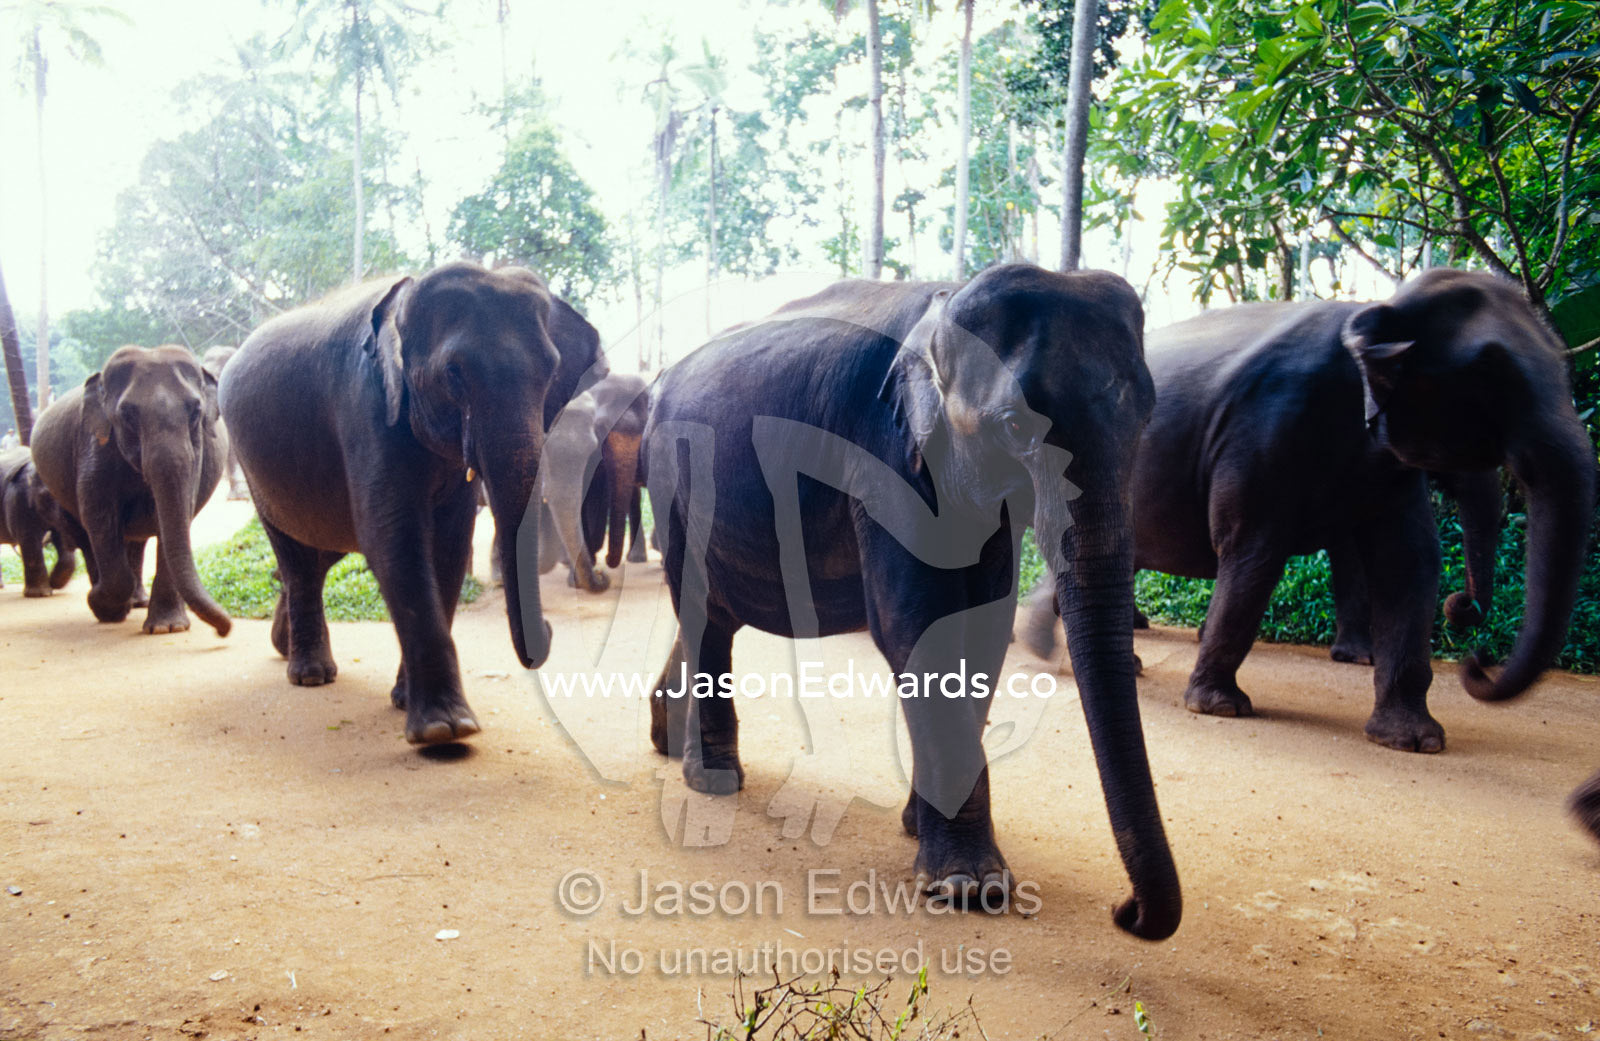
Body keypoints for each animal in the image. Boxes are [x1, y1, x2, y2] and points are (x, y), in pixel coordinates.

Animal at [0, 448, 77, 596]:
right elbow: (29, 538)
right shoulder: (19, 499)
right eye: (48, 496)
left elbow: (61, 539)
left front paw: (54, 584)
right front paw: (40, 594)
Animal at [30, 346, 233, 636]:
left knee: (136, 540)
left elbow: (178, 514)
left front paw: (167, 628)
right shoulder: (95, 449)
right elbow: (99, 517)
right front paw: (103, 606)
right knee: (89, 537)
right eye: (127, 414)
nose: (224, 630)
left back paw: (136, 602)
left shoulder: (198, 454)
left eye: (196, 411)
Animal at [219, 261, 606, 745]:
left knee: (319, 555)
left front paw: (407, 702)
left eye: (551, 372)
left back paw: (285, 647)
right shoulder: (365, 406)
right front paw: (446, 729)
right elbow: (394, 537)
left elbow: (449, 546)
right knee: (297, 558)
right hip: (255, 471)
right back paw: (310, 675)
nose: (550, 631)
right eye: (454, 373)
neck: (400, 302)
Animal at [643, 263, 1181, 940]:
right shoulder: (883, 458)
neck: (944, 309)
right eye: (1016, 426)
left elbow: (984, 629)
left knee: (711, 611)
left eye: (1147, 417)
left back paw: (666, 740)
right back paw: (713, 780)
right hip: (672, 481)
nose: (1125, 910)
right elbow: (917, 628)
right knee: (700, 609)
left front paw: (917, 831)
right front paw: (970, 888)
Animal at [1021, 269, 1593, 756]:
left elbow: (1408, 562)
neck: (1374, 311)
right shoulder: (1267, 424)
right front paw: (1220, 708)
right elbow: (1253, 549)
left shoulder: (1385, 464)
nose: (1476, 657)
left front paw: (1414, 740)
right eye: (1490, 371)